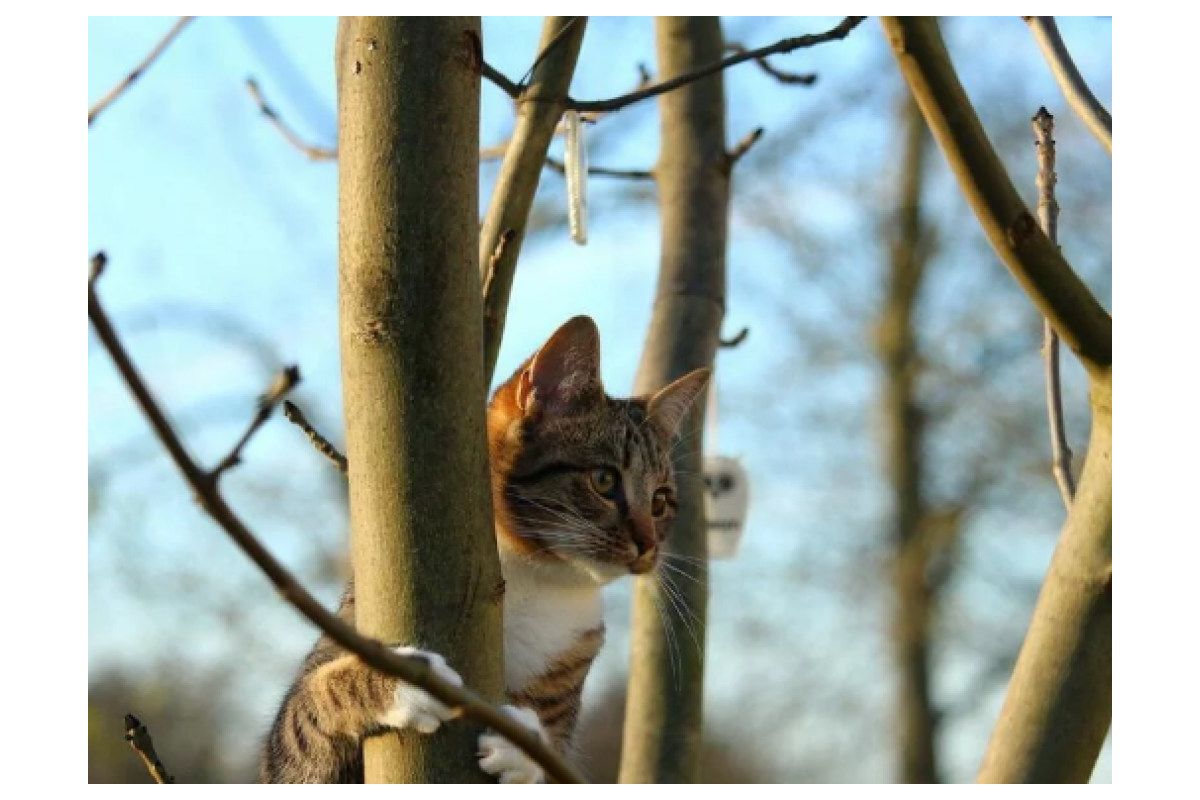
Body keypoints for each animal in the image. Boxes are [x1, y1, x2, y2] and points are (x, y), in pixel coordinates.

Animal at [258, 316, 705, 782]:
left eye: (660, 501)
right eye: (604, 480)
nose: (649, 546)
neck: (539, 580)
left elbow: (554, 761)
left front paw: (523, 745)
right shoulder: (288, 760)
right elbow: (306, 713)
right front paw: (404, 680)